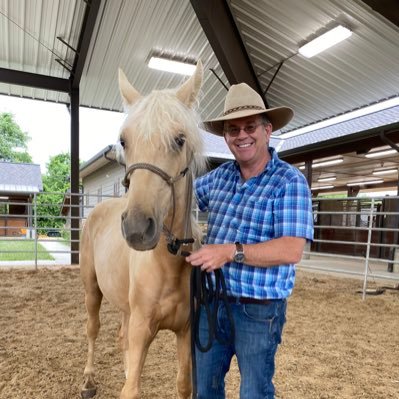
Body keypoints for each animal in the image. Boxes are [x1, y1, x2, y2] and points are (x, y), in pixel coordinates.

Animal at [81, 62, 206, 399]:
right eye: (124, 141)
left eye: (180, 139)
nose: (137, 228)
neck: (168, 264)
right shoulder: (142, 328)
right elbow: (131, 389)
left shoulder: (186, 332)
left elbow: (184, 385)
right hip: (92, 289)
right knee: (93, 330)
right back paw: (87, 380)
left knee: (120, 338)